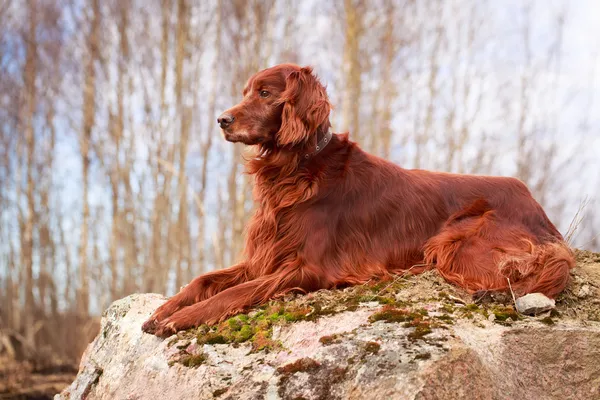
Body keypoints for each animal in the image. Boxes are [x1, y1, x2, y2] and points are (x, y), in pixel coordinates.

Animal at [142, 63, 576, 338]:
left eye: (265, 93)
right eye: (245, 92)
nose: (222, 120)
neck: (296, 167)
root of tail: (535, 204)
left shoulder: (308, 268)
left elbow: (233, 293)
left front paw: (181, 318)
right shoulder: (265, 256)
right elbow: (204, 279)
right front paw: (164, 310)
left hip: (454, 241)